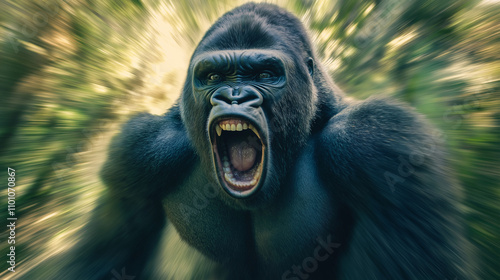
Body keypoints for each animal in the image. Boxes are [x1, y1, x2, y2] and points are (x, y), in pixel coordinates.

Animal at [58, 2, 472, 280]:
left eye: (264, 74)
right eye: (213, 76)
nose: (234, 97)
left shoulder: (379, 143)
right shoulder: (139, 152)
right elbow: (102, 262)